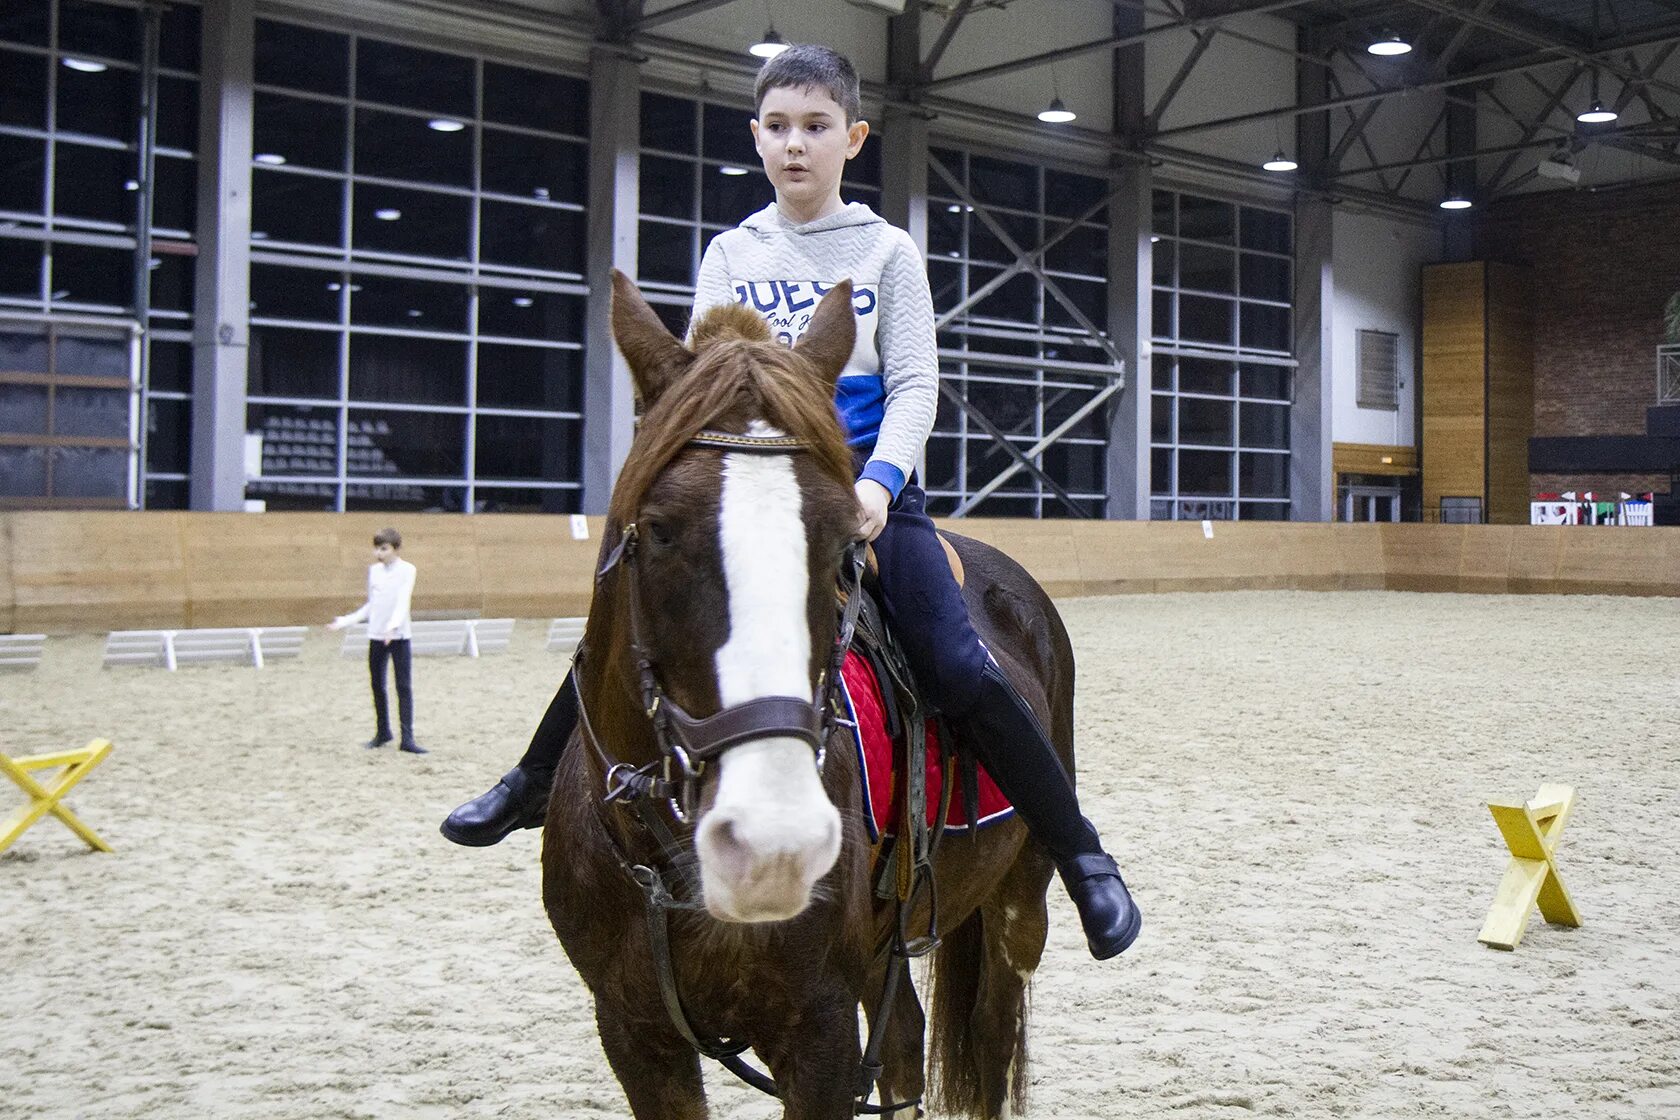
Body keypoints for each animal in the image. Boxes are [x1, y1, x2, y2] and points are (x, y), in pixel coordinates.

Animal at [544, 273, 1081, 1120]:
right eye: (657, 530)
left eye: (842, 542)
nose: (774, 846)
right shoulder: (633, 1033)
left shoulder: (818, 1030)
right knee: (905, 1045)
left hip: (1017, 901)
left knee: (993, 1037)